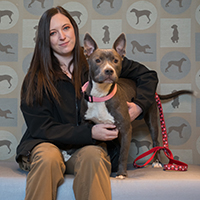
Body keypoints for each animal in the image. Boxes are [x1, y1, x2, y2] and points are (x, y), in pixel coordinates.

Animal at [80, 32, 193, 178]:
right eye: (98, 60)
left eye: (115, 61)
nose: (109, 71)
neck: (101, 95)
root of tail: (154, 92)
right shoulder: (91, 126)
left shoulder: (125, 129)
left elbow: (123, 154)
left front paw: (121, 174)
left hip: (152, 118)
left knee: (156, 141)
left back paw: (156, 162)